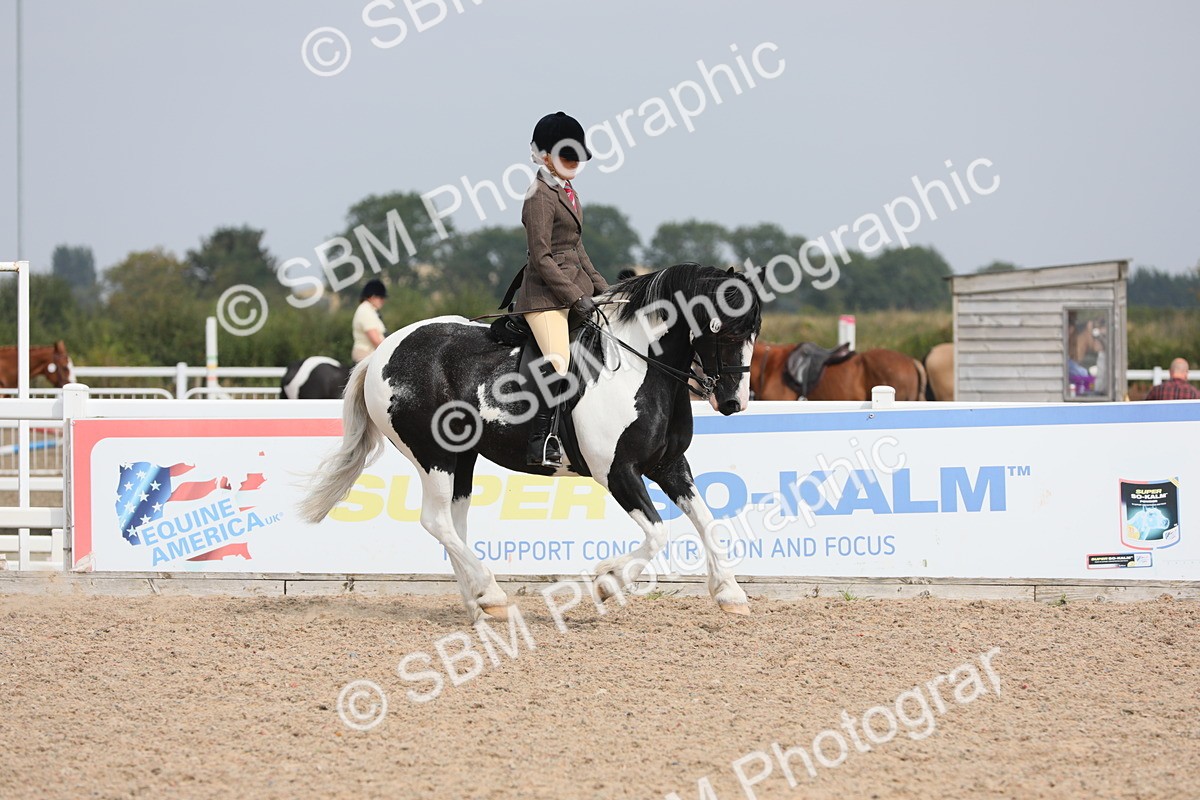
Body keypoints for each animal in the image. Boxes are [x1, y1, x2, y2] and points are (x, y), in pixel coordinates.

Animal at [300, 264, 761, 621]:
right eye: (722, 330)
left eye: (754, 330)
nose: (733, 402)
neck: (640, 368)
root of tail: (383, 353)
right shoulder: (617, 472)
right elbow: (658, 533)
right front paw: (608, 582)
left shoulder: (670, 465)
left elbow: (707, 521)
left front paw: (731, 594)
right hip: (435, 455)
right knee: (436, 521)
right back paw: (491, 593)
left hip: (462, 458)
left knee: (453, 524)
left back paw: (479, 605)